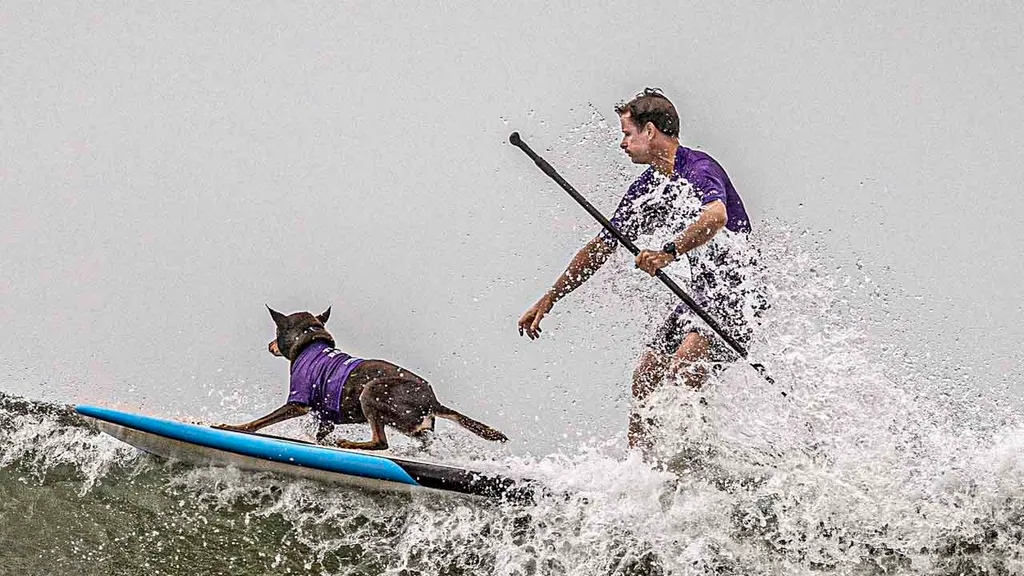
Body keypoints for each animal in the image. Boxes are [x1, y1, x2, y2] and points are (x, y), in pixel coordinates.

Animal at [216, 305, 507, 448]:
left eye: (276, 333)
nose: (269, 346)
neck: (311, 342)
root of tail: (433, 401)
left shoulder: (297, 403)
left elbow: (259, 422)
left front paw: (233, 426)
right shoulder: (325, 417)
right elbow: (321, 434)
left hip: (373, 391)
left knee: (381, 443)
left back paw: (350, 443)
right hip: (411, 424)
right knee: (419, 439)